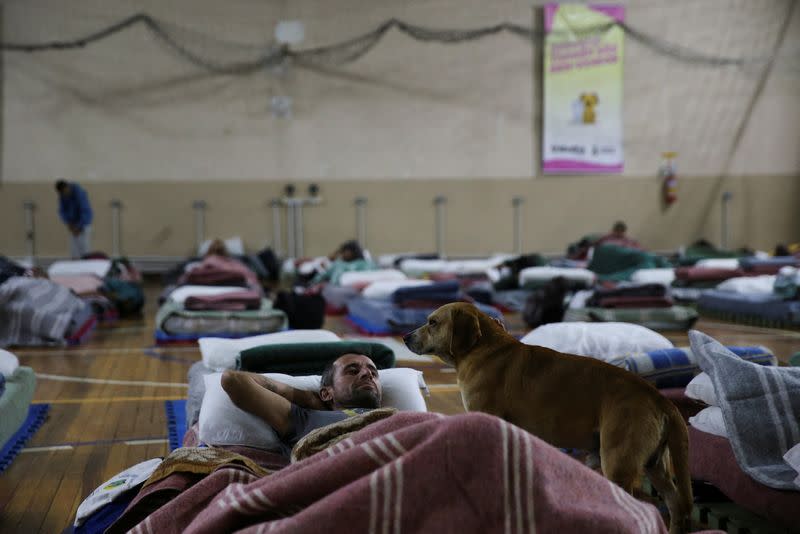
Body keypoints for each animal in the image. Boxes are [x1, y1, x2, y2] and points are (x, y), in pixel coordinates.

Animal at [406, 304, 692, 532]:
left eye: (432, 322)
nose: (406, 336)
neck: (484, 347)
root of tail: (660, 399)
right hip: (656, 466)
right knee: (677, 504)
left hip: (618, 462)